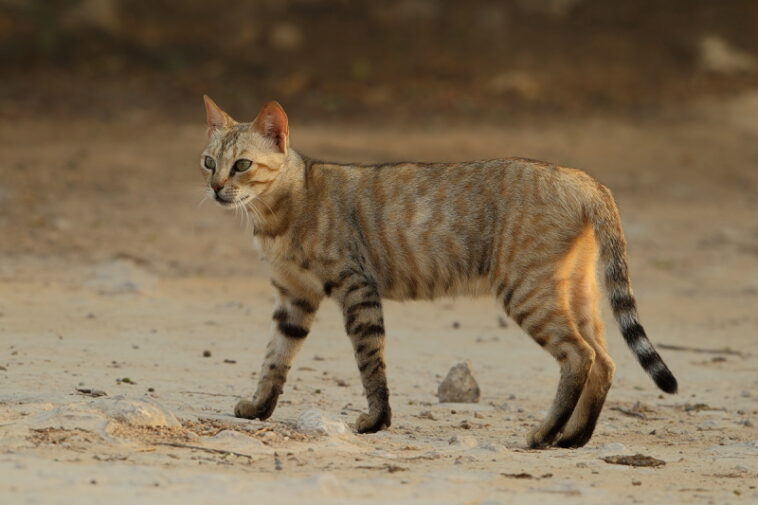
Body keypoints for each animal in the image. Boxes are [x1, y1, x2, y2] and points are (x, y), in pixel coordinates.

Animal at [199, 96, 680, 446]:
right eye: (208, 162)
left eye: (242, 164)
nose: (217, 188)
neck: (275, 214)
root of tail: (583, 178)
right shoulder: (293, 297)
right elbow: (274, 359)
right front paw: (259, 409)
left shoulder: (357, 287)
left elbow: (370, 361)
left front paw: (375, 421)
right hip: (576, 290)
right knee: (605, 360)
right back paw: (573, 438)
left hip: (529, 291)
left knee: (580, 356)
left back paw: (543, 435)